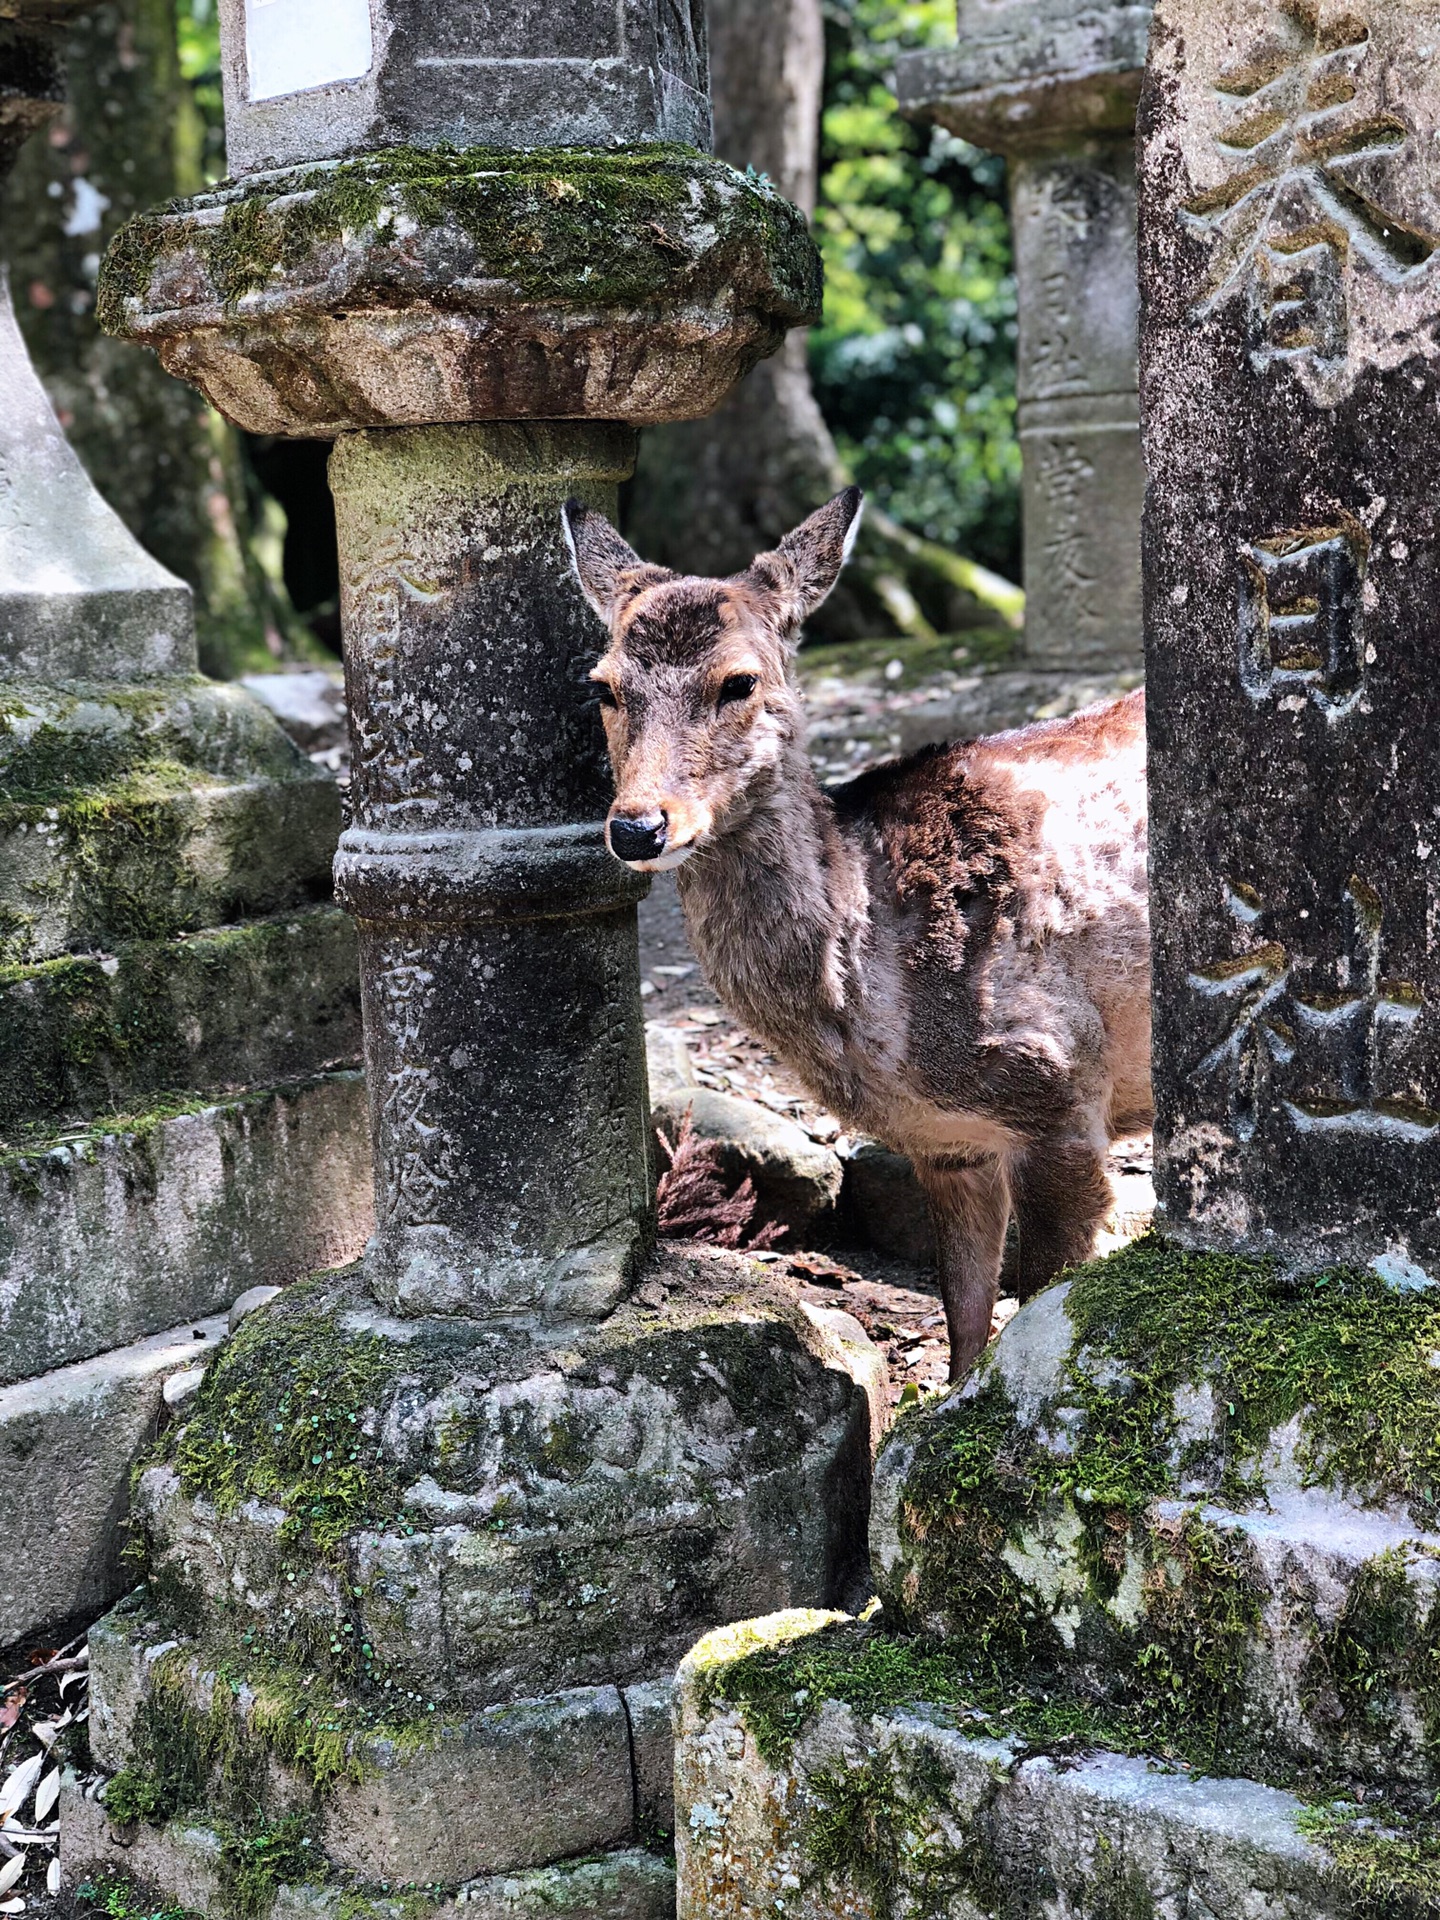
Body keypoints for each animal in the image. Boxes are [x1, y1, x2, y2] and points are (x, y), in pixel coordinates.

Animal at [560, 487, 1152, 1374]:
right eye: (603, 688)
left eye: (739, 680)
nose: (637, 827)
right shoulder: (948, 1143)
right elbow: (965, 1322)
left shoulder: (1066, 1088)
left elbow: (1041, 1311)